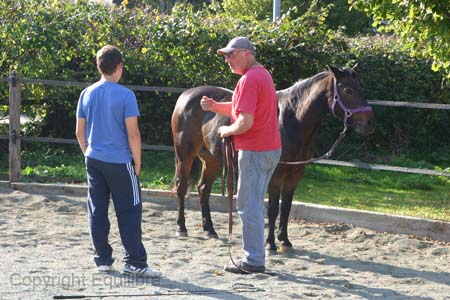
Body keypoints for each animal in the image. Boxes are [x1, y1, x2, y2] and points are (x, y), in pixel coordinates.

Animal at [171, 65, 374, 251]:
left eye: (359, 87)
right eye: (347, 90)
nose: (369, 123)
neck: (291, 120)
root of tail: (186, 96)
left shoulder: (295, 173)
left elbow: (286, 207)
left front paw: (285, 240)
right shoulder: (276, 173)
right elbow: (273, 208)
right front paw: (270, 243)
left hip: (211, 160)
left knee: (203, 189)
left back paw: (210, 230)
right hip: (185, 155)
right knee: (181, 187)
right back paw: (181, 228)